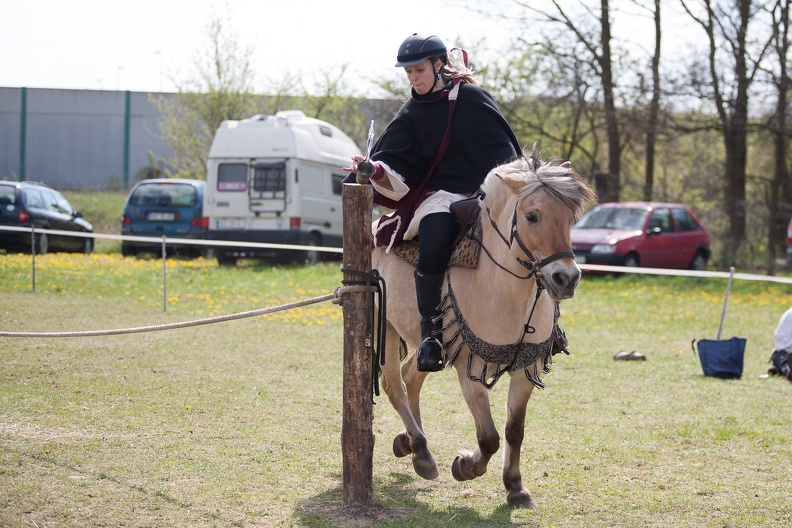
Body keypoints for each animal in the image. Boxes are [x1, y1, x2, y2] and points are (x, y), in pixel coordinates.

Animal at [372, 156, 592, 508]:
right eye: (532, 216)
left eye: (570, 218)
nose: (566, 278)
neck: (503, 289)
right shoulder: (469, 369)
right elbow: (488, 437)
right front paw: (465, 466)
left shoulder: (525, 370)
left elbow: (514, 430)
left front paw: (515, 486)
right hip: (386, 328)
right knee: (395, 386)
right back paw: (420, 450)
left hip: (428, 347)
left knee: (410, 380)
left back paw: (412, 446)